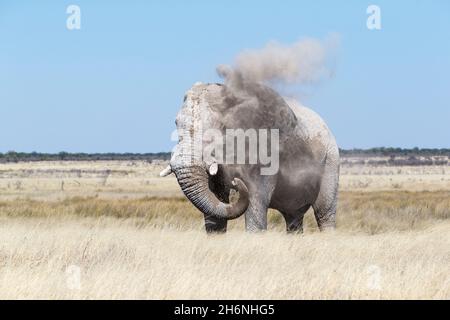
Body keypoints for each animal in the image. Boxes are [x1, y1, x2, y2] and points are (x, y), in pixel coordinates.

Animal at [160, 80, 340, 232]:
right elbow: (216, 203)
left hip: (331, 160)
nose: (236, 183)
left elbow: (255, 202)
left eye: (221, 127)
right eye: (176, 123)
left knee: (324, 213)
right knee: (293, 217)